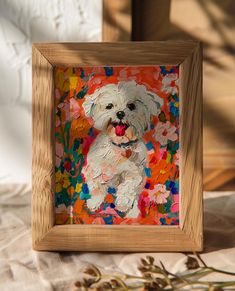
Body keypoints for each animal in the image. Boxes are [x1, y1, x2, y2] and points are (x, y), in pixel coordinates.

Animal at [81, 81, 162, 218]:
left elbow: (127, 187)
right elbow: (97, 185)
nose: (120, 113)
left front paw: (123, 203)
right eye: (109, 106)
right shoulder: (94, 168)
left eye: (131, 106)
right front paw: (94, 202)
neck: (119, 146)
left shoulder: (134, 173)